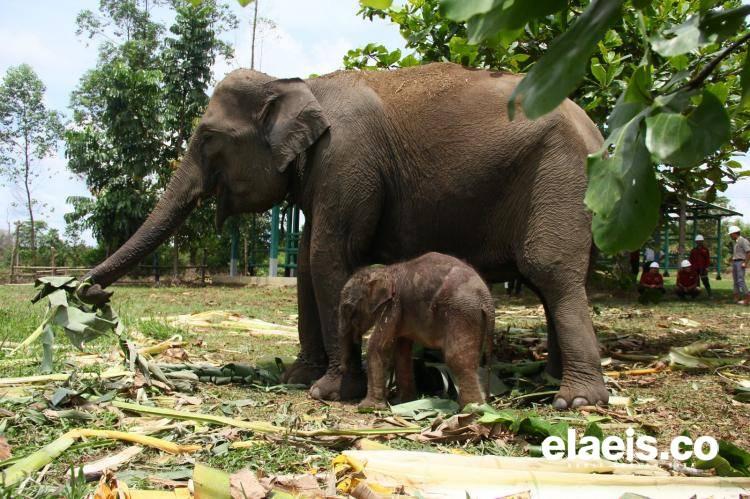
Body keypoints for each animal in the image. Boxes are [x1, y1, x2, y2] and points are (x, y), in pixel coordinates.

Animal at [340, 252, 494, 408]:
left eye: (347, 308)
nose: (342, 369)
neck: (386, 270)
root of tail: (486, 298)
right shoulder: (401, 311)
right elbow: (401, 352)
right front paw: (404, 402)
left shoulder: (393, 306)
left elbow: (376, 347)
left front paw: (366, 407)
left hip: (461, 312)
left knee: (457, 358)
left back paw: (472, 408)